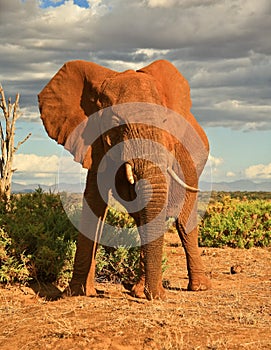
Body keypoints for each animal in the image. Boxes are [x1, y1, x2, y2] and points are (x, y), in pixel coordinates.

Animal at [37, 58, 212, 300]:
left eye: (165, 120)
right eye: (115, 121)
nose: (159, 295)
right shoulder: (95, 141)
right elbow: (94, 199)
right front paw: (75, 293)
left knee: (185, 224)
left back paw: (197, 288)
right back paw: (140, 290)